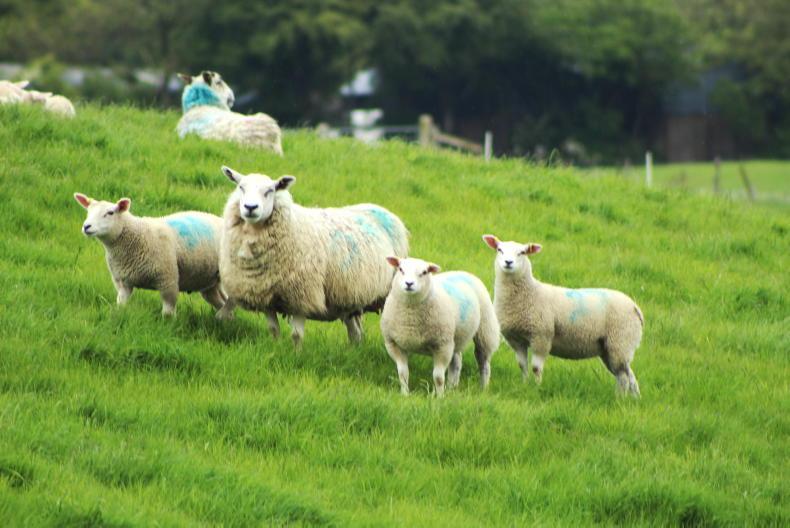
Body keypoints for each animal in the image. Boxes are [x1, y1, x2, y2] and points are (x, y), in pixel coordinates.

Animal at [74, 193, 225, 317]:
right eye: (88, 212)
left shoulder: (168, 280)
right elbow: (121, 304)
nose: (86, 226)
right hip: (210, 282)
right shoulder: (123, 282)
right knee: (221, 302)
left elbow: (168, 313)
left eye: (110, 212)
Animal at [216, 166, 409, 346]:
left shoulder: (302, 296)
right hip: (349, 299)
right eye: (241, 187)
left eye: (270, 190)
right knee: (355, 333)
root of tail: (377, 207)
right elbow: (273, 330)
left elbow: (296, 336)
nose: (250, 208)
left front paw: (296, 355)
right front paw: (276, 347)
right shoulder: (265, 296)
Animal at [379, 257, 500, 396]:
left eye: (424, 272)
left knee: (483, 362)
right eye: (400, 269)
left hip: (484, 330)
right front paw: (405, 394)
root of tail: (462, 272)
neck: (410, 317)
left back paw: (483, 388)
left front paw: (440, 397)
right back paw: (452, 387)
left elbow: (438, 377)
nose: (409, 283)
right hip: (454, 336)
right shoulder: (394, 344)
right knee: (456, 361)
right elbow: (402, 373)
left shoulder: (442, 345)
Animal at [482, 235, 643, 396]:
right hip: (610, 348)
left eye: (522, 252)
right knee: (628, 375)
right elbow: (522, 365)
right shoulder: (516, 339)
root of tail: (635, 307)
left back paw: (620, 398)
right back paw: (633, 398)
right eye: (499, 249)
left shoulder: (542, 336)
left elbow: (536, 368)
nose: (508, 262)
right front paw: (525, 385)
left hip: (620, 342)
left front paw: (537, 388)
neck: (529, 293)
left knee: (623, 376)